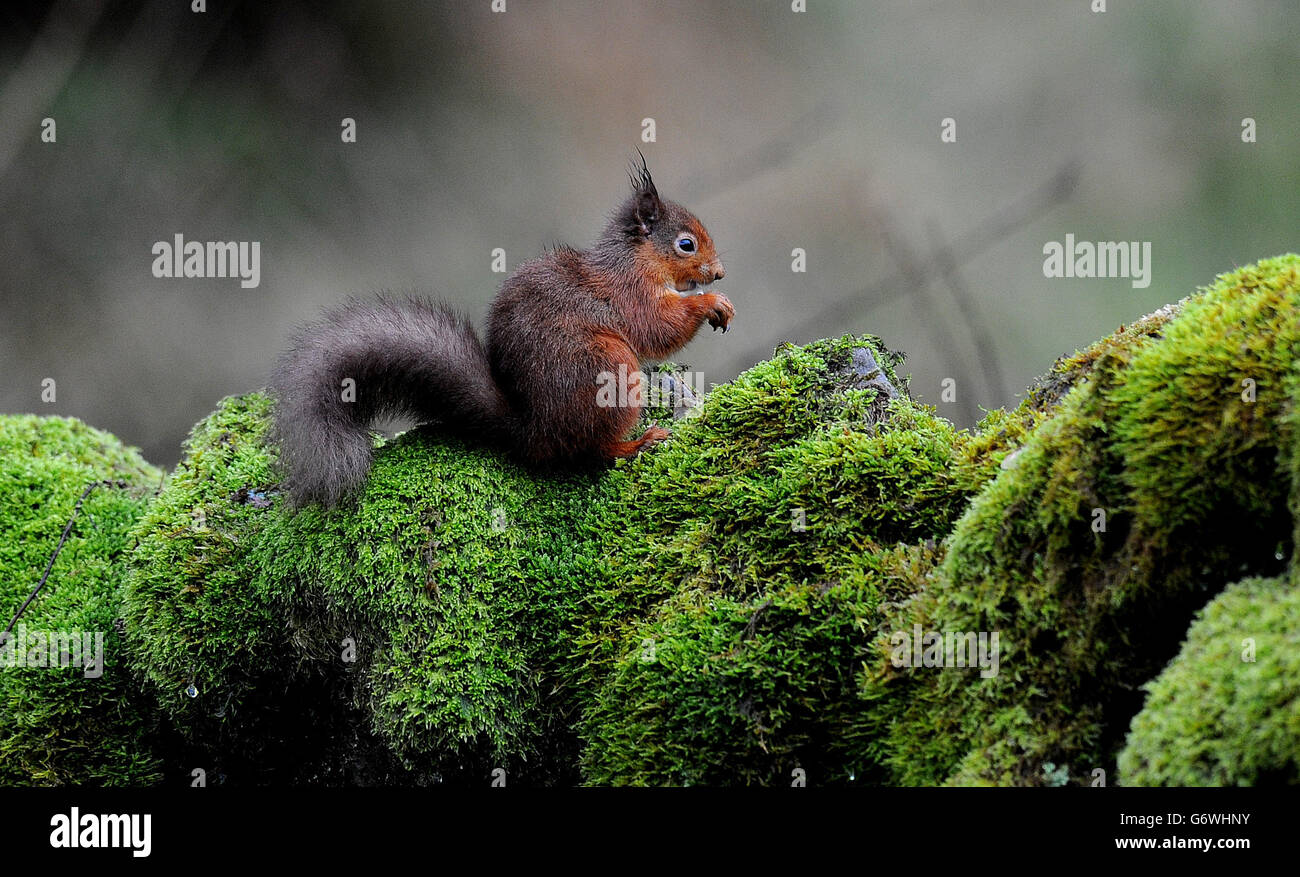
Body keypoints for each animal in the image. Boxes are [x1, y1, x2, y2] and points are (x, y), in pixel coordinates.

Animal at [271, 154, 733, 504]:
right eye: (686, 244)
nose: (719, 274)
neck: (634, 260)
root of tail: (532, 432)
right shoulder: (627, 296)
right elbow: (657, 327)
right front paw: (711, 303)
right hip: (609, 369)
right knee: (593, 450)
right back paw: (637, 443)